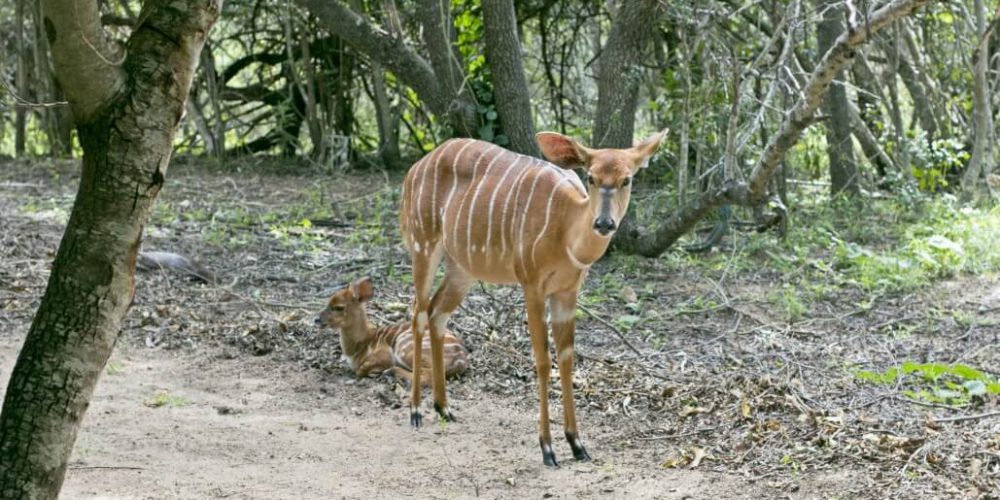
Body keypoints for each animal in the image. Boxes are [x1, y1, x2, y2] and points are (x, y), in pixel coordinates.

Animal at [318, 278, 470, 382]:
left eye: (339, 307)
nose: (317, 319)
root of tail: (460, 360)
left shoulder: (385, 354)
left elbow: (360, 370)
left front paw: (376, 371)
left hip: (405, 348)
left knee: (429, 375)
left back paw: (391, 372)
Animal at [398, 130, 664, 464]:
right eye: (590, 176)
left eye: (627, 179)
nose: (604, 223)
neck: (566, 230)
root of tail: (415, 168)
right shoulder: (532, 284)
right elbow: (542, 360)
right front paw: (547, 448)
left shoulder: (567, 291)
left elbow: (566, 358)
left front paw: (577, 444)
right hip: (423, 244)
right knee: (418, 314)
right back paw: (415, 411)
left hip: (463, 268)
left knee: (437, 313)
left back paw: (444, 408)